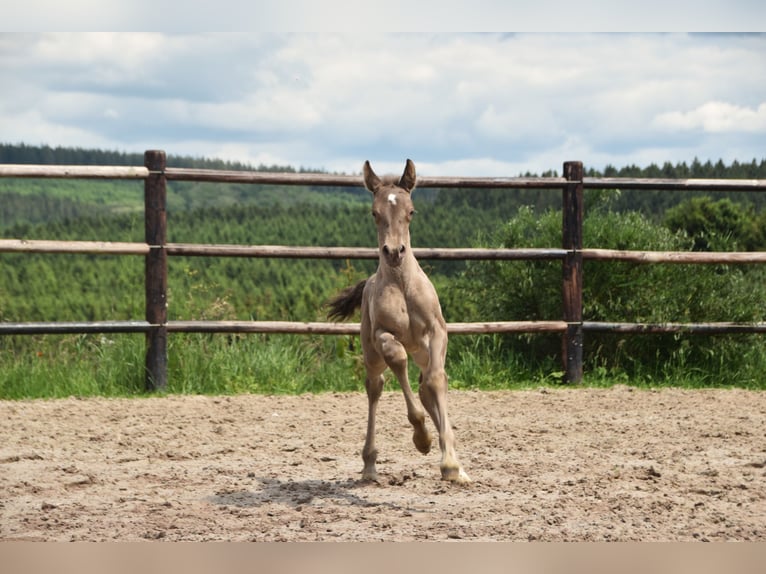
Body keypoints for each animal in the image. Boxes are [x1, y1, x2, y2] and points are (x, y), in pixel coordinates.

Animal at [328, 160, 472, 484]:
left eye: (411, 211)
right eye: (374, 213)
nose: (394, 252)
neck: (402, 285)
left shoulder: (437, 331)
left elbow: (436, 380)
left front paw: (451, 464)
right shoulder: (384, 334)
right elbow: (397, 358)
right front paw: (422, 438)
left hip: (423, 351)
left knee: (426, 386)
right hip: (372, 353)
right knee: (375, 387)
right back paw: (370, 466)